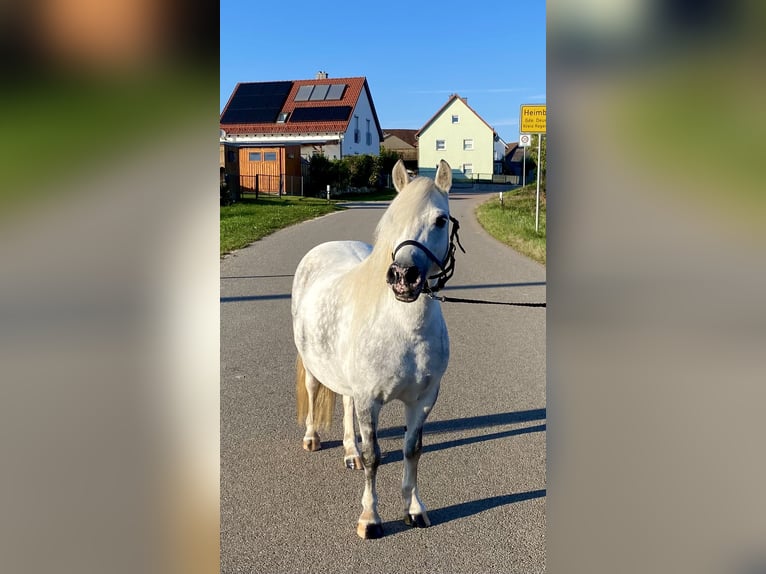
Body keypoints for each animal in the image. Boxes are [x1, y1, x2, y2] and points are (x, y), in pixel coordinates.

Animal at [294, 159, 460, 540]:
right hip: (313, 367)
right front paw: (370, 519)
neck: (404, 330)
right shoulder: (370, 400)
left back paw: (349, 452)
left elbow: (412, 450)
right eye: (392, 218)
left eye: (440, 220)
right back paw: (312, 438)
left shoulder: (423, 400)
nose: (403, 276)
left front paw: (414, 509)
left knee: (345, 404)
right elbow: (375, 456)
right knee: (313, 392)